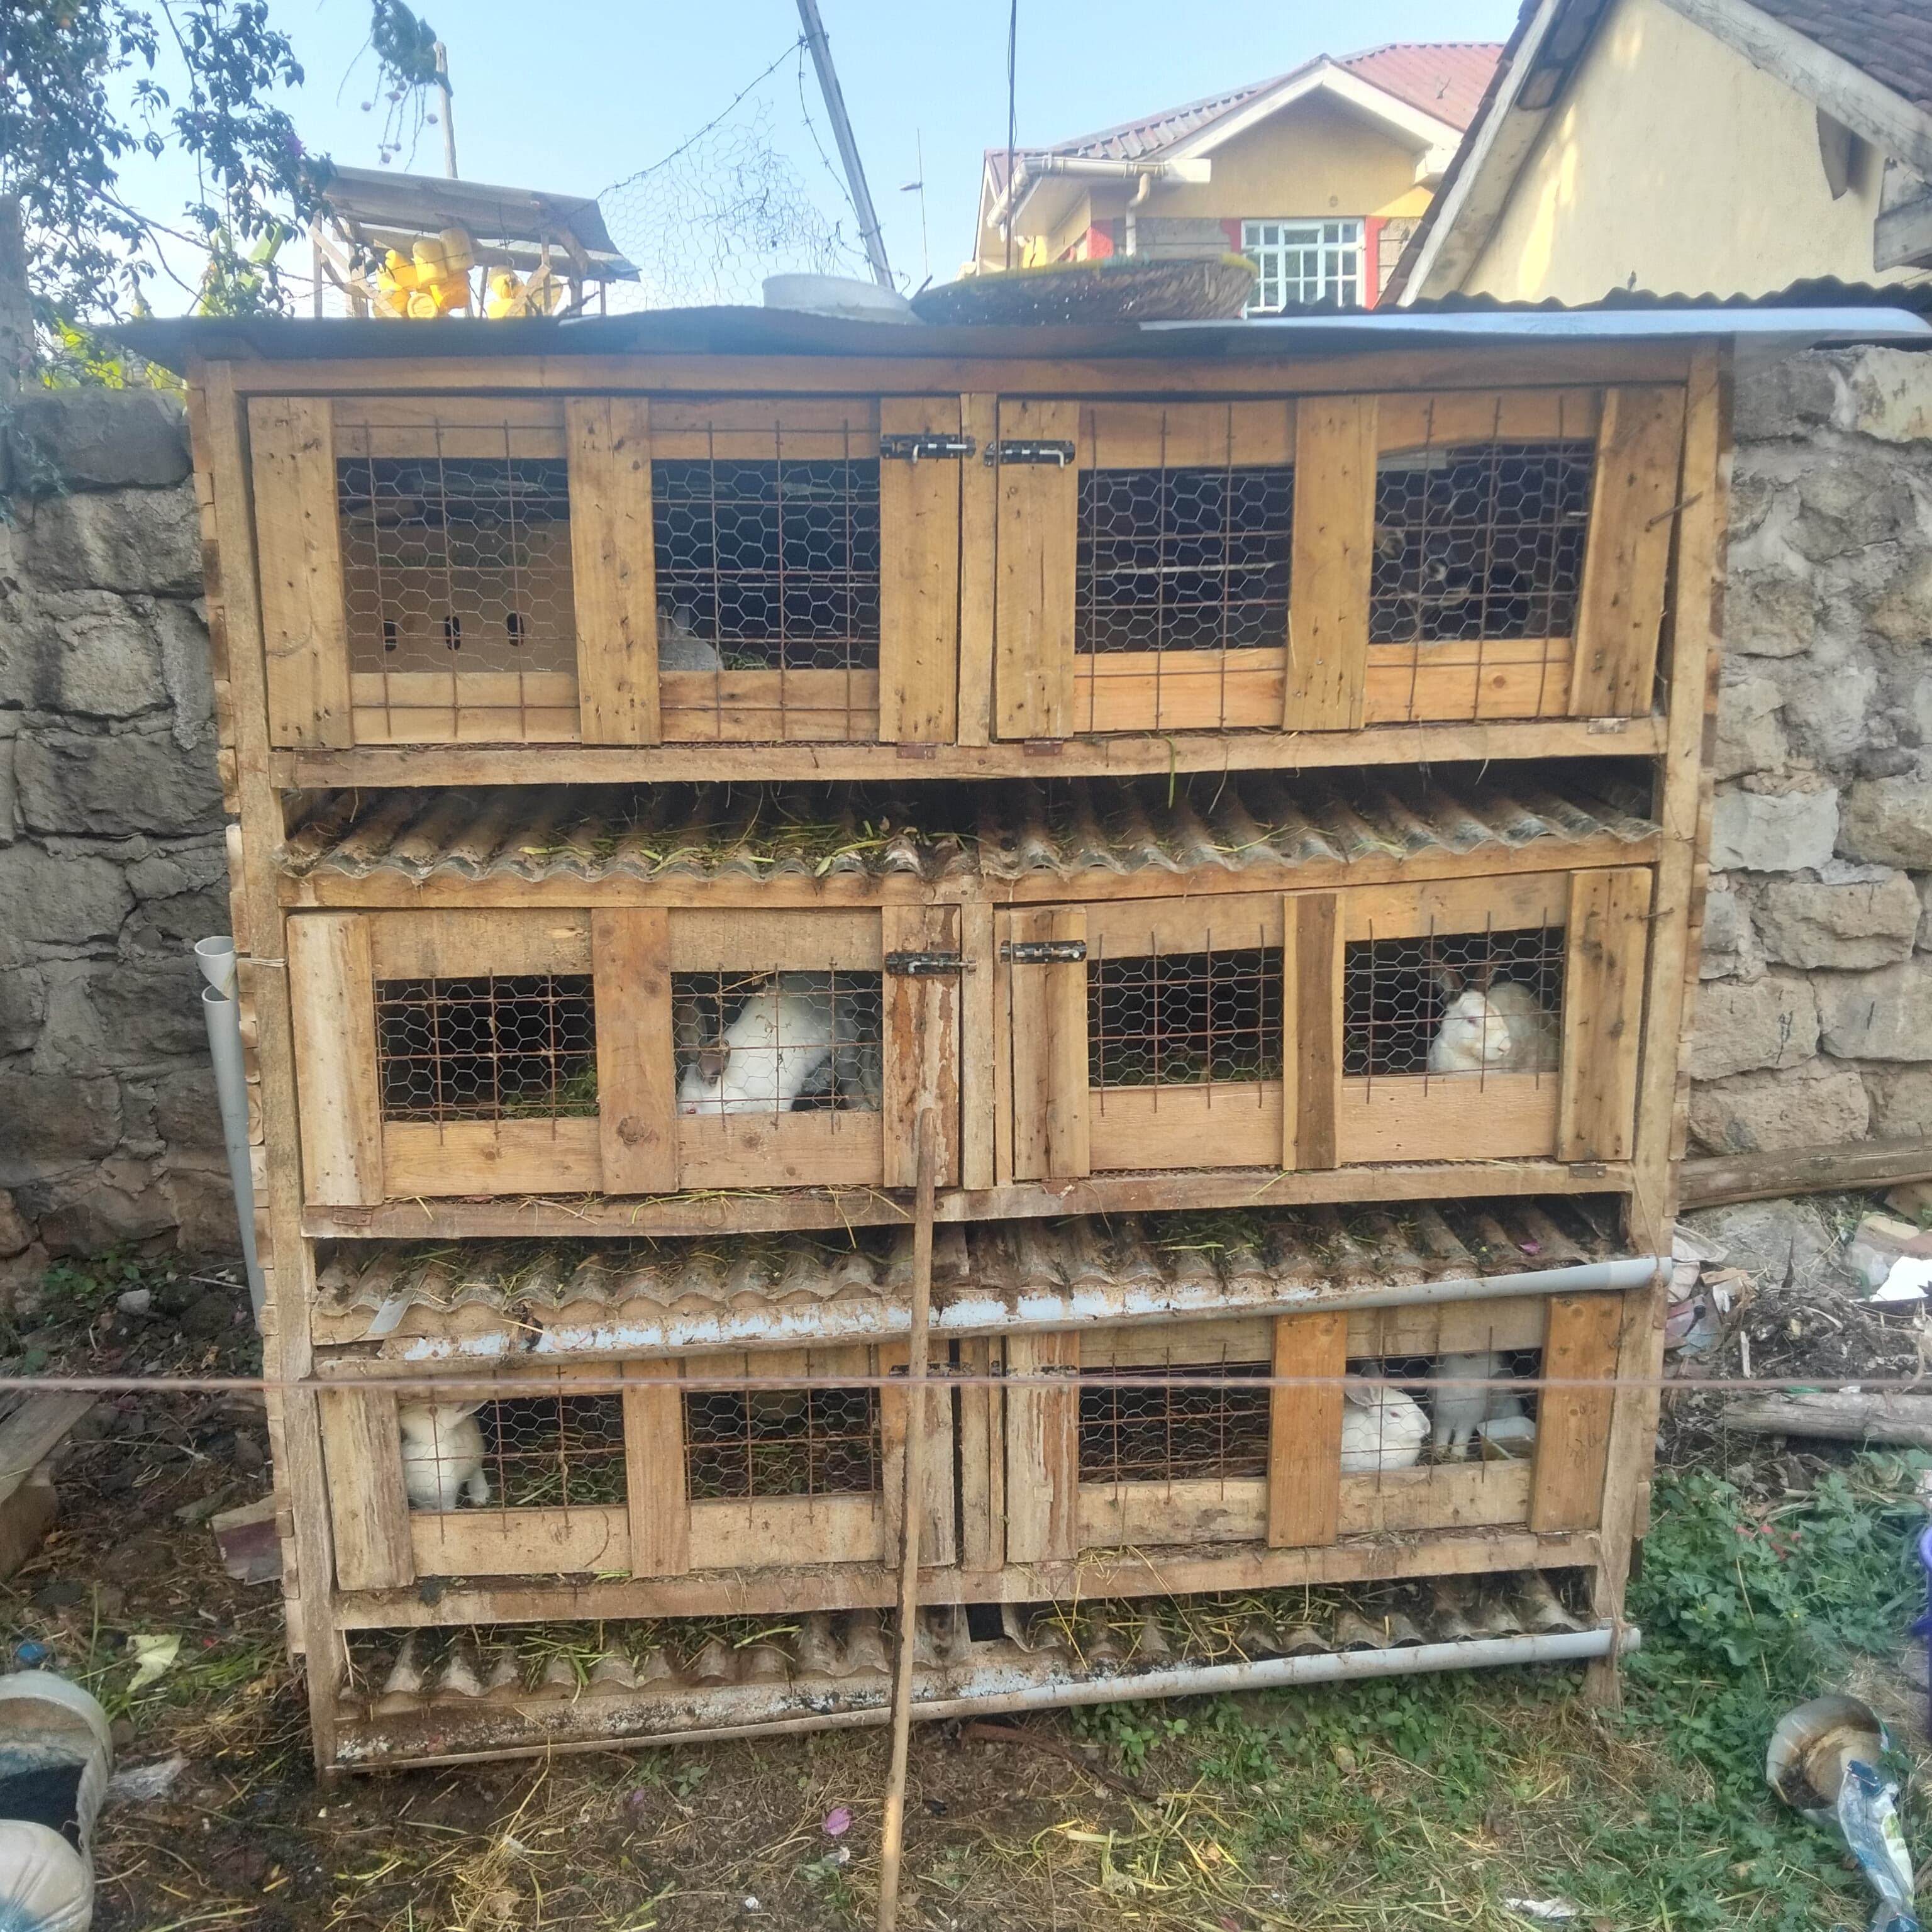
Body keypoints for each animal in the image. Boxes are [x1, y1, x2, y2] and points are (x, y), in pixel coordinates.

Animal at [397, 1402, 489, 1511]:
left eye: (433, 1410)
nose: (401, 1429)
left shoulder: (447, 1494)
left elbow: (447, 1508)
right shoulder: (419, 1498)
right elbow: (426, 1509)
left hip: (476, 1462)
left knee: (477, 1475)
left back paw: (479, 1498)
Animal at [1427, 1351, 1528, 1459]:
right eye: (1470, 1355)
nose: (1500, 1361)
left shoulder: (1469, 1420)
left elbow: (1462, 1437)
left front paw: (1457, 1456)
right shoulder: (1444, 1418)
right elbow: (1443, 1434)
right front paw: (1439, 1452)